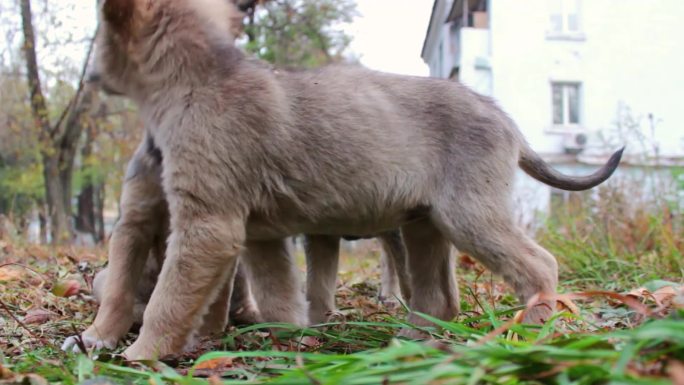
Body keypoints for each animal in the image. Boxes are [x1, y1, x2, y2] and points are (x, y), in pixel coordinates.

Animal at [84, 0, 620, 358]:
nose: (89, 75)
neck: (201, 77)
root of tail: (505, 119)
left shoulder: (206, 226)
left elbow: (167, 300)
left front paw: (138, 357)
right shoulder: (253, 236)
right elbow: (273, 298)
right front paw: (284, 345)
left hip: (469, 216)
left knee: (540, 266)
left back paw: (531, 333)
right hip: (425, 227)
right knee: (439, 298)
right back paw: (409, 343)